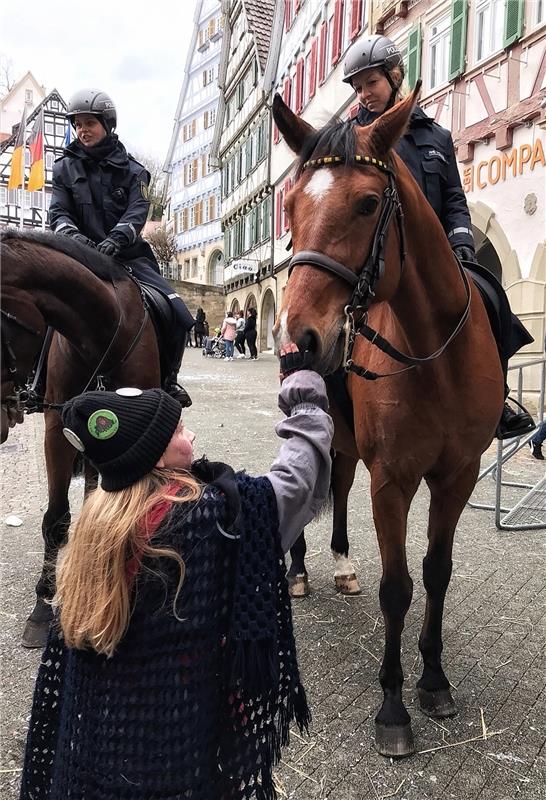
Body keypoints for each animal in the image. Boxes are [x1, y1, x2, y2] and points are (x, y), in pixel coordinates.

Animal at [270, 87, 504, 756]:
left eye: (368, 203)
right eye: (288, 206)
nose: (296, 339)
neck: (436, 356)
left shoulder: (458, 476)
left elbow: (436, 573)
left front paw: (434, 680)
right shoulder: (393, 481)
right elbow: (397, 587)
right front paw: (394, 707)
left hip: (351, 448)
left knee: (339, 486)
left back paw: (343, 565)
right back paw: (301, 572)